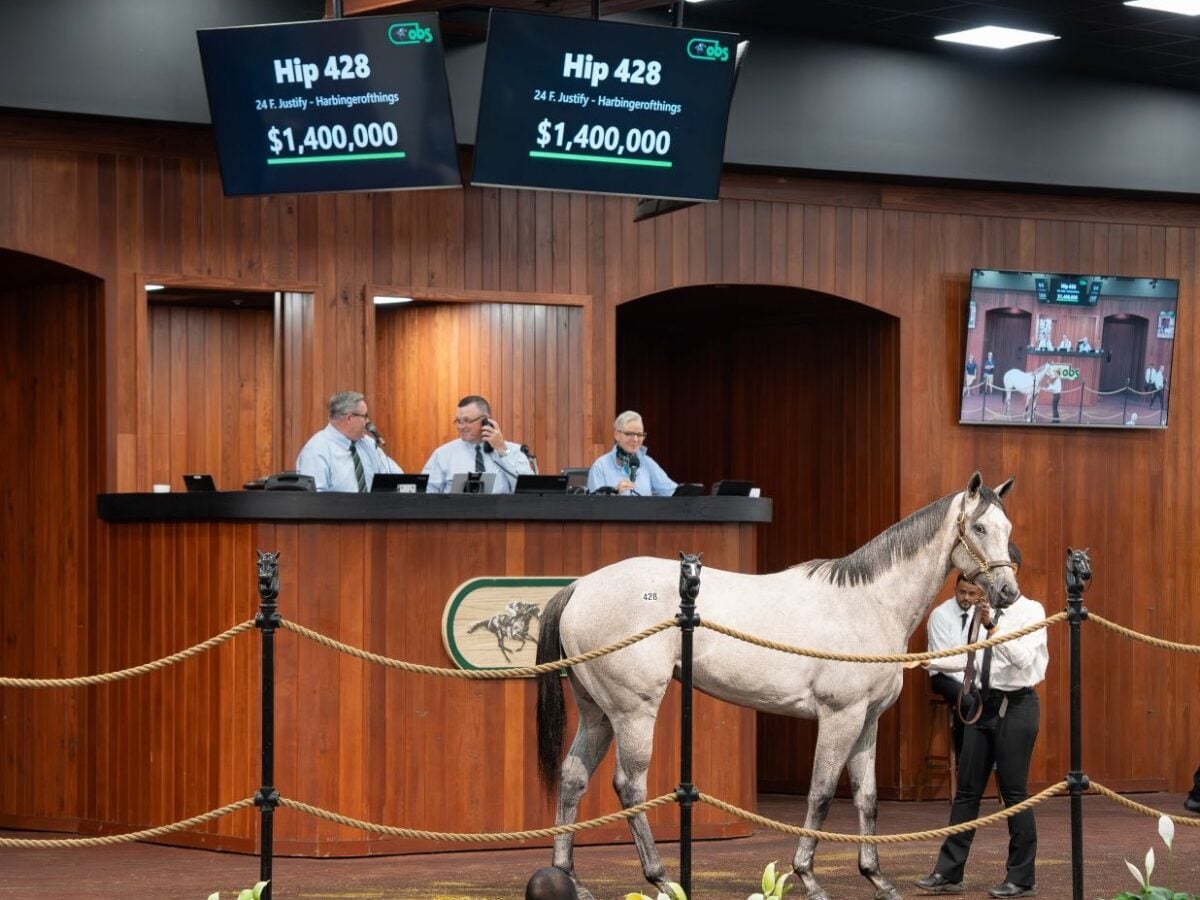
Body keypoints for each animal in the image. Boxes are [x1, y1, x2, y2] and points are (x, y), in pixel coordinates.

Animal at [535, 472, 1020, 900]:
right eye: (979, 527)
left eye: (1008, 528)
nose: (1008, 592)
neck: (867, 602)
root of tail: (580, 587)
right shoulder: (839, 717)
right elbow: (821, 793)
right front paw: (808, 877)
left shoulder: (868, 721)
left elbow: (867, 799)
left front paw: (877, 878)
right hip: (633, 711)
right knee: (629, 785)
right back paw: (661, 878)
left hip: (598, 713)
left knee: (573, 777)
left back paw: (569, 879)